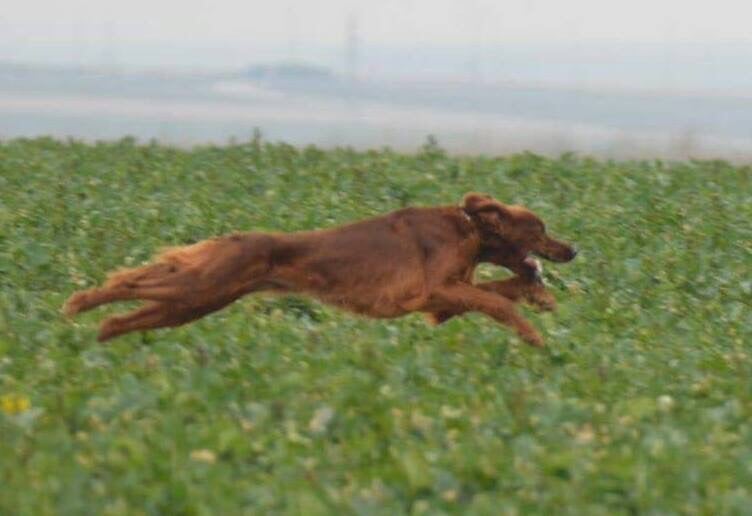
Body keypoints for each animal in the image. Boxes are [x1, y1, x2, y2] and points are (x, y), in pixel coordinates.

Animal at [64, 194, 576, 346]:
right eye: (541, 228)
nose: (572, 249)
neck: (467, 227)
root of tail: (238, 238)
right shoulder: (429, 292)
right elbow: (496, 300)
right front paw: (533, 336)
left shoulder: (444, 300)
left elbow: (502, 289)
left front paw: (540, 294)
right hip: (201, 288)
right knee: (129, 282)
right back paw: (78, 304)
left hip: (196, 302)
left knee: (130, 313)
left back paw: (102, 333)